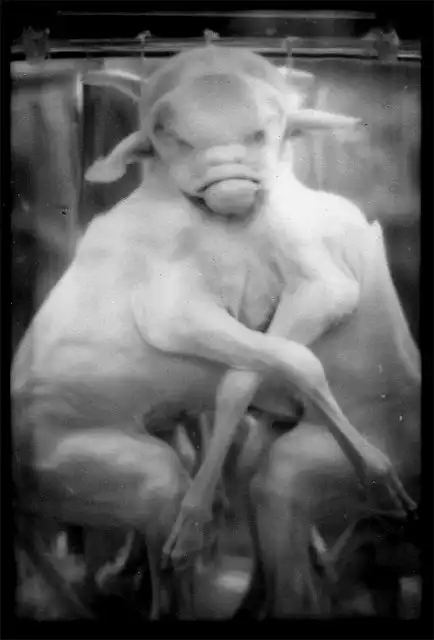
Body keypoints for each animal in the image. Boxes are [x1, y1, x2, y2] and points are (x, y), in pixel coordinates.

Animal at [12, 44, 416, 618]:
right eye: (166, 134)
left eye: (269, 129)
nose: (229, 181)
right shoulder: (175, 310)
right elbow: (286, 361)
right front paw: (379, 476)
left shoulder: (318, 285)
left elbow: (259, 373)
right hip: (121, 475)